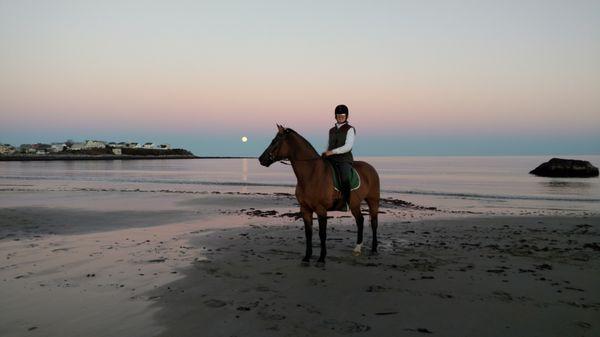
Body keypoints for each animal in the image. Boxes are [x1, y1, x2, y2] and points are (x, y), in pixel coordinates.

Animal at [258, 124, 380, 266]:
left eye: (275, 141)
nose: (261, 159)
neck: (311, 174)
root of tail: (370, 168)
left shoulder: (321, 210)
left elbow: (322, 234)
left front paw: (321, 258)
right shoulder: (305, 209)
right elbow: (308, 233)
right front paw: (307, 257)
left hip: (373, 201)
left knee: (374, 222)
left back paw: (374, 249)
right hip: (355, 204)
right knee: (360, 221)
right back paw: (357, 248)